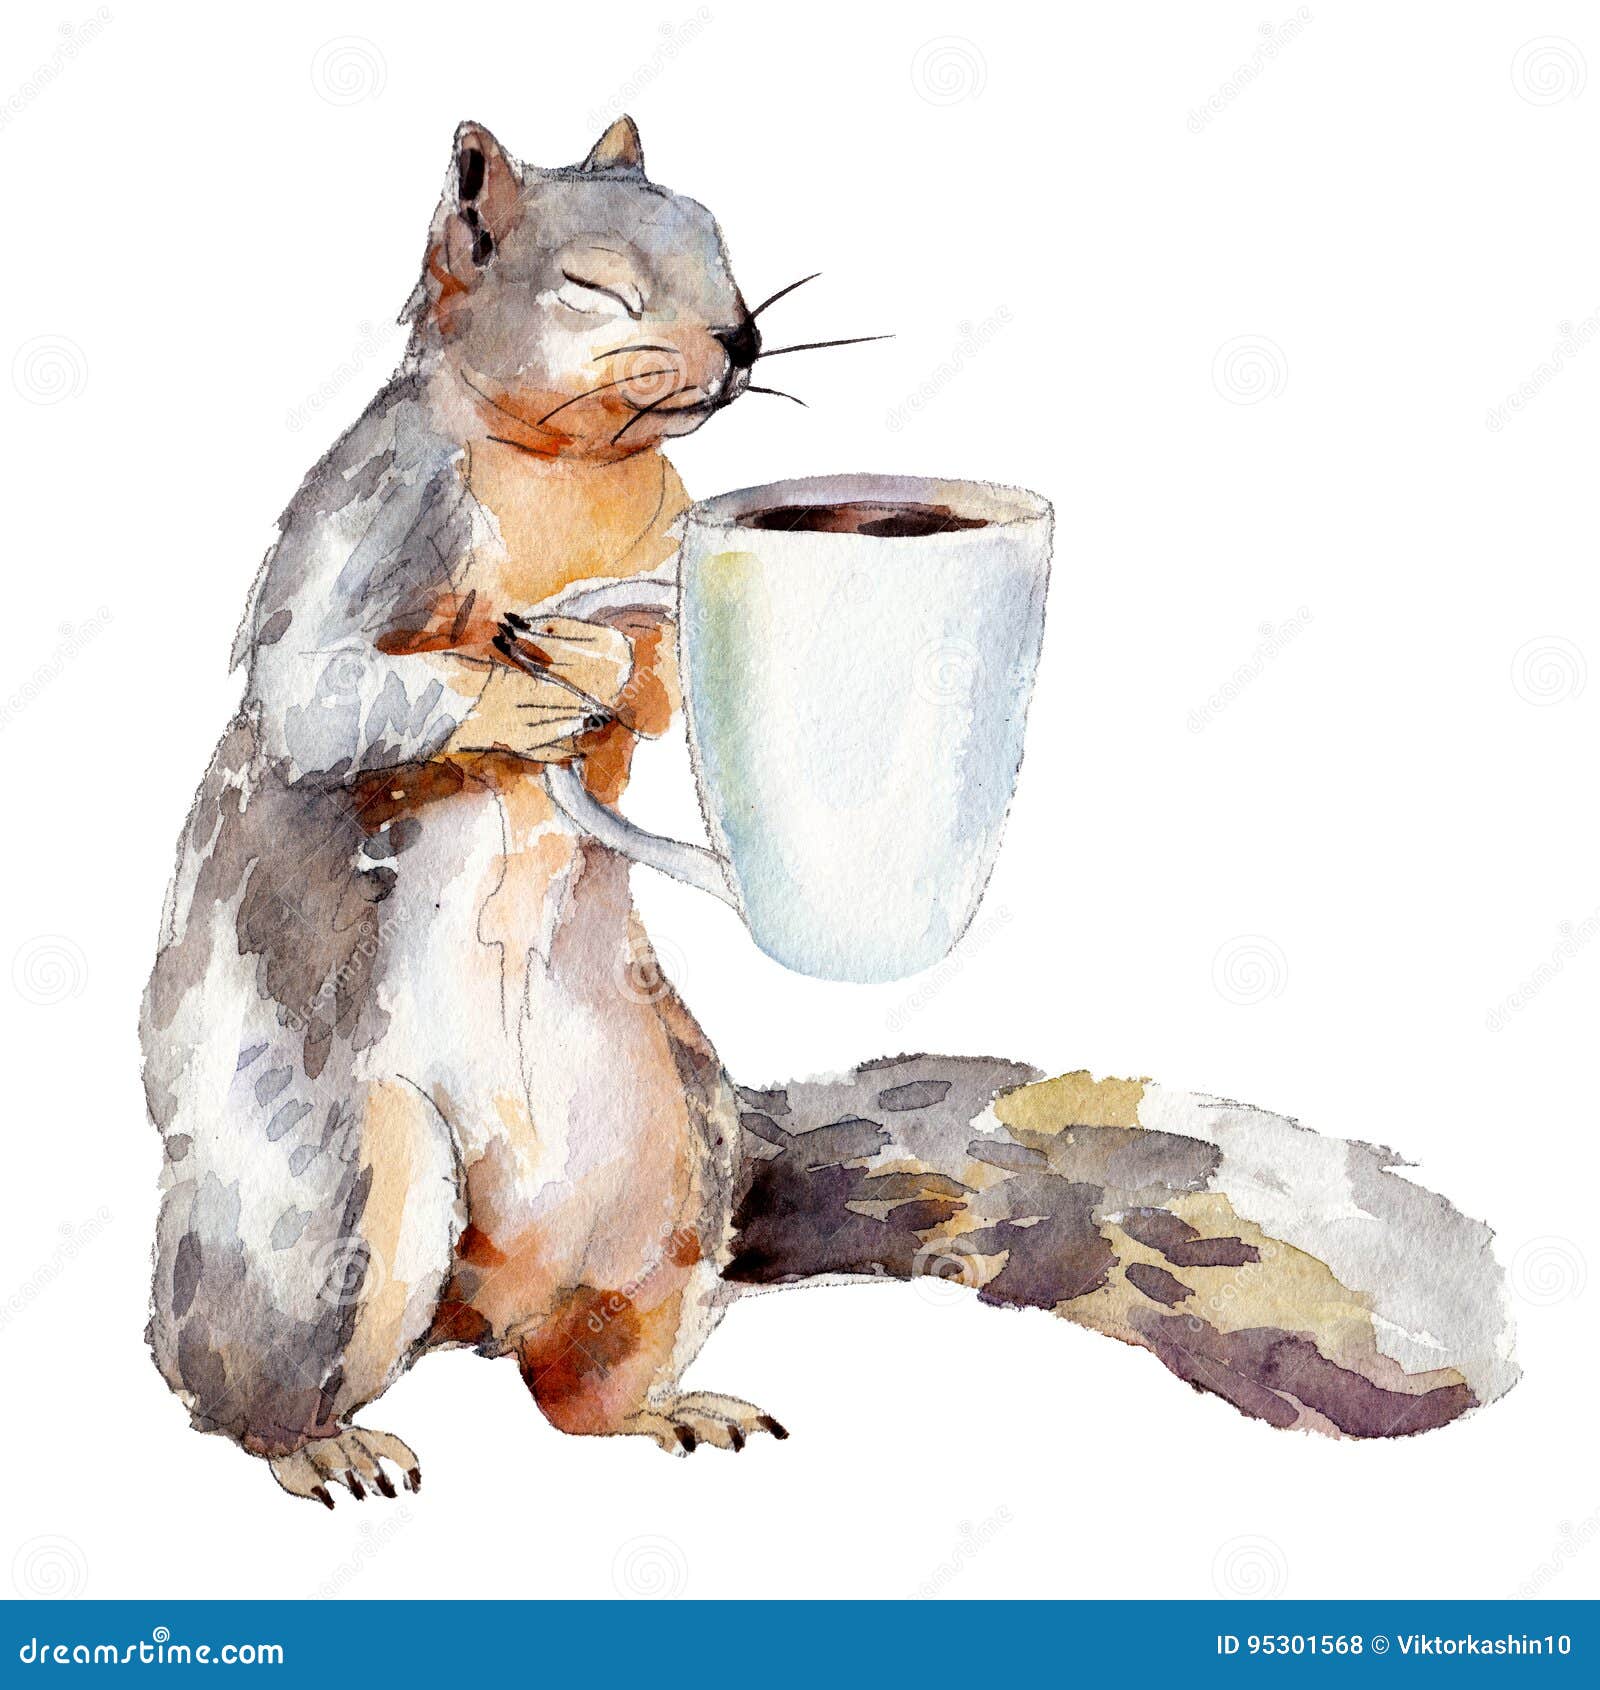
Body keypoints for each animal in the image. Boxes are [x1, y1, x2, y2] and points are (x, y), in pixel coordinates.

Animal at [140, 118, 1517, 1507]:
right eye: (593, 285)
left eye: (724, 252)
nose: (744, 339)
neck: (574, 474)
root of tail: (474, 1307)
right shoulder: (371, 514)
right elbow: (323, 691)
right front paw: (516, 693)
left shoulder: (670, 545)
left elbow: (653, 682)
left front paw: (594, 663)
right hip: (332, 1216)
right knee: (247, 1371)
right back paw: (318, 1441)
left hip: (667, 1186)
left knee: (576, 1389)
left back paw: (669, 1409)